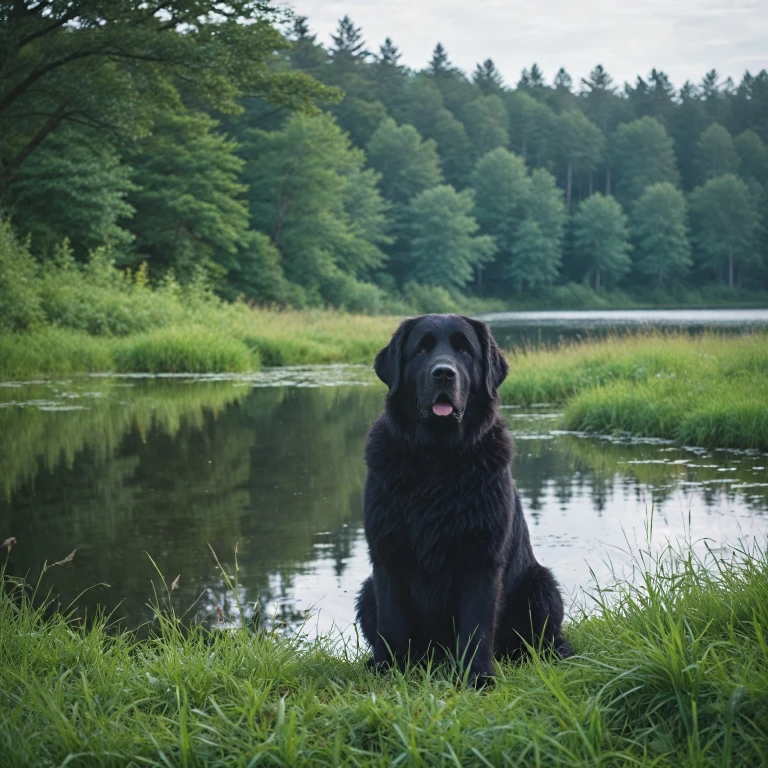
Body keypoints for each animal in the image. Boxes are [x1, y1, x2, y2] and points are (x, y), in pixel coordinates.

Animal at [354, 312, 568, 684]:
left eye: (464, 350)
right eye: (422, 349)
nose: (443, 373)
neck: (438, 460)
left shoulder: (481, 559)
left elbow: (476, 626)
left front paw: (478, 677)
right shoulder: (387, 556)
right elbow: (391, 625)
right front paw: (387, 671)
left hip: (541, 587)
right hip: (367, 590)